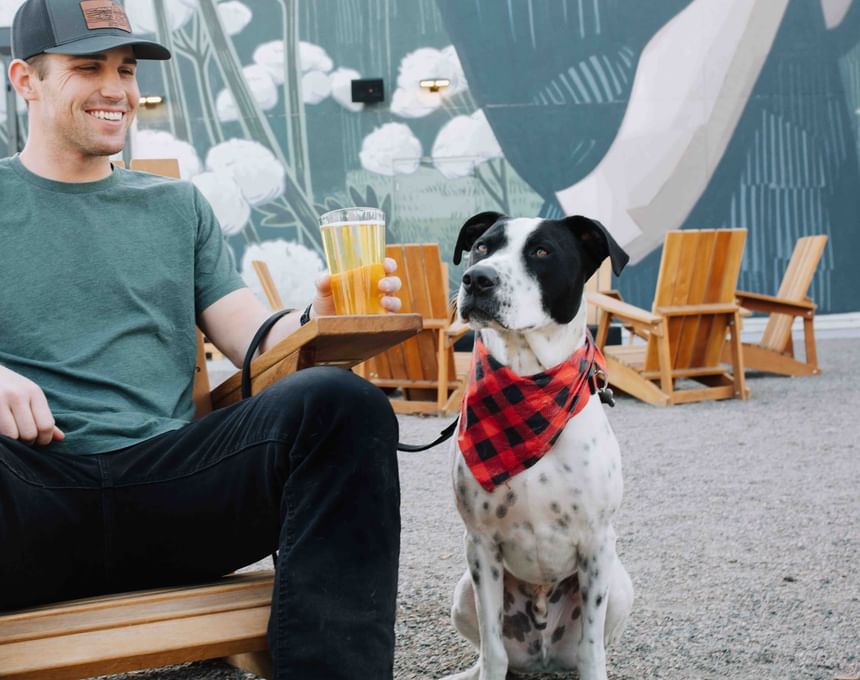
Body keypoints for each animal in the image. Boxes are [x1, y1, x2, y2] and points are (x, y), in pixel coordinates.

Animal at [440, 212, 636, 680]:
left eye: (542, 251)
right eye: (482, 247)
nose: (477, 279)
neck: (530, 386)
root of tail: (542, 657)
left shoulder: (596, 544)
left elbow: (591, 651)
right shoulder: (481, 546)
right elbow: (493, 650)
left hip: (620, 585)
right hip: (463, 591)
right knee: (489, 652)